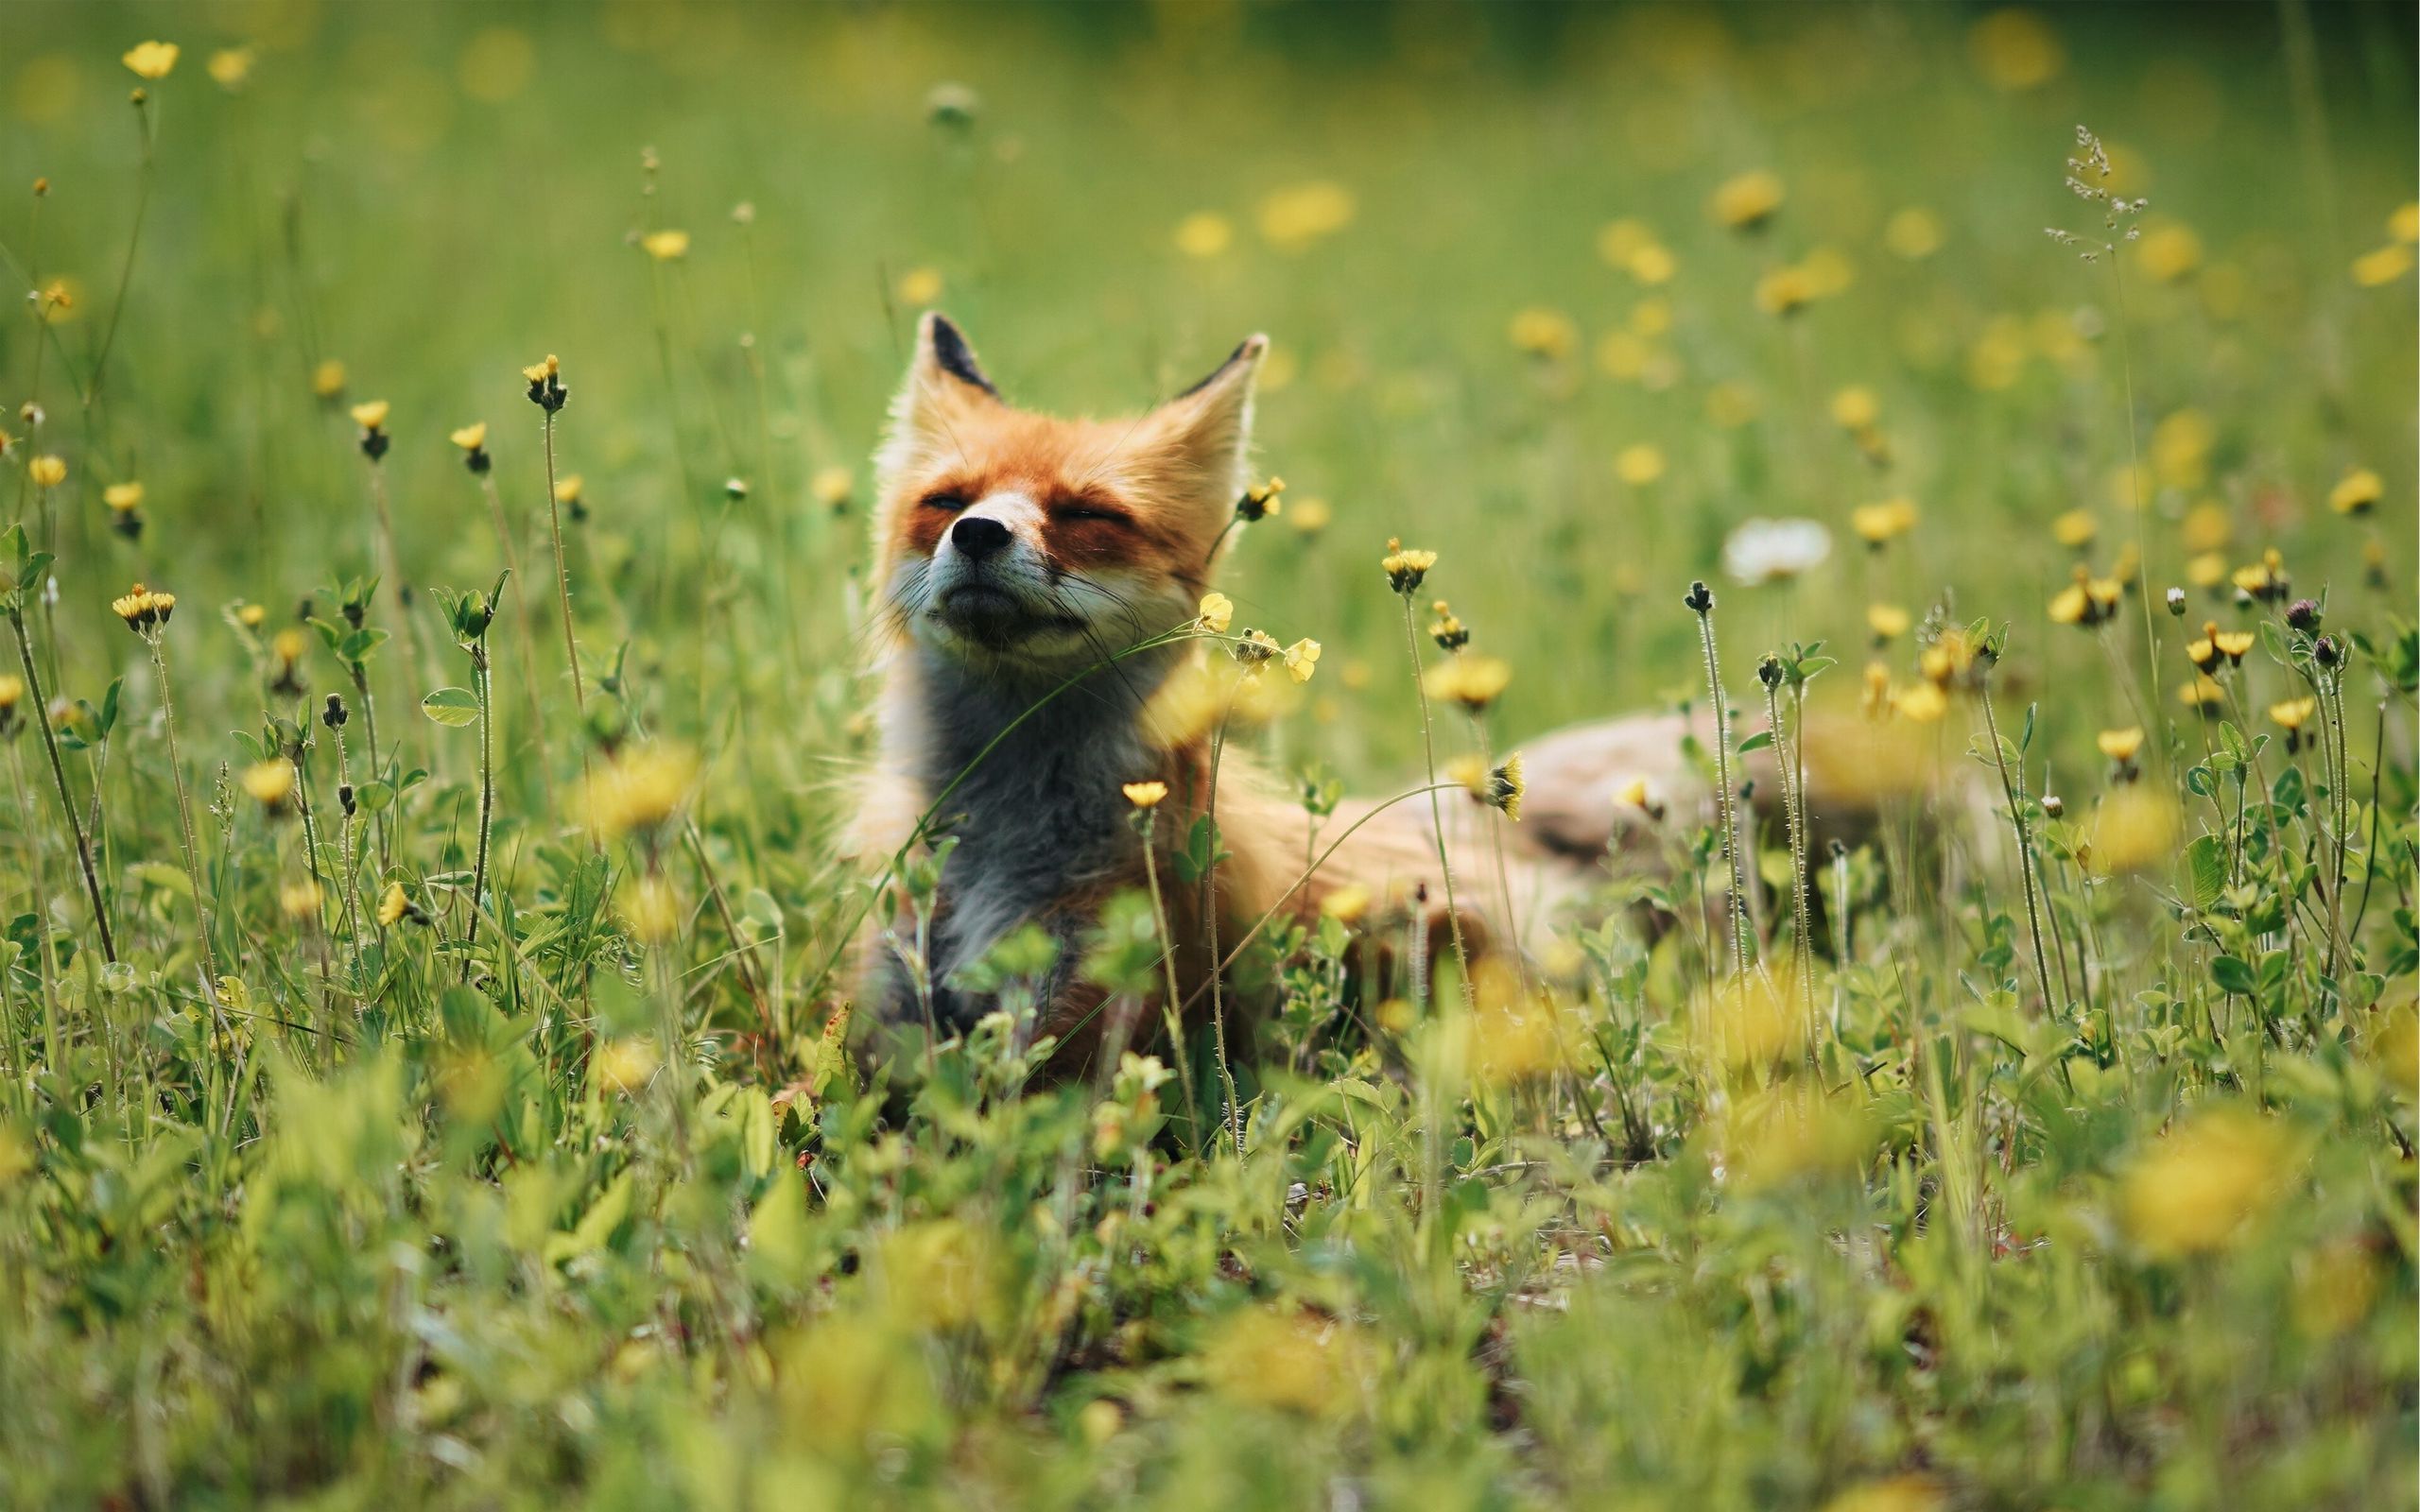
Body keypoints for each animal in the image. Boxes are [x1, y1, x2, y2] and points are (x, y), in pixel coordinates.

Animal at [850, 313, 1868, 1068]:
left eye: (1088, 514)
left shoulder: (1104, 1003)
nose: (979, 535)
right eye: (946, 502)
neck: (1006, 844)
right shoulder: (893, 997)